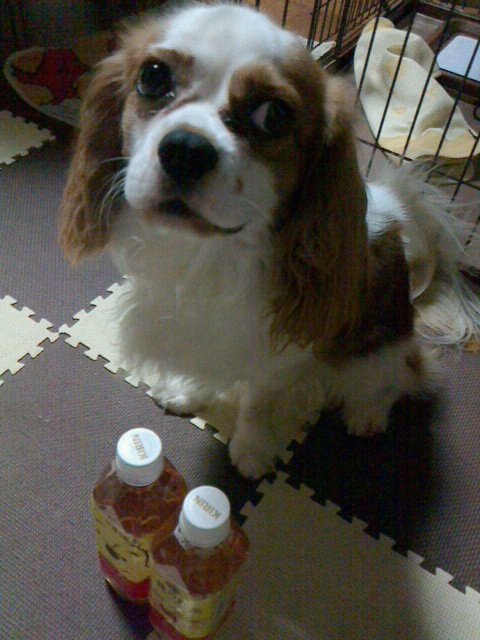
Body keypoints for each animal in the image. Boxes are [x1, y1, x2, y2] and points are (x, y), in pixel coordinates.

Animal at [59, 4, 480, 479]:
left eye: (274, 114)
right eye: (153, 76)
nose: (185, 149)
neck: (210, 256)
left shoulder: (280, 354)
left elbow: (257, 404)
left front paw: (251, 450)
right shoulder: (198, 329)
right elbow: (206, 364)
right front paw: (189, 392)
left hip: (378, 345)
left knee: (397, 377)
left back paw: (368, 414)